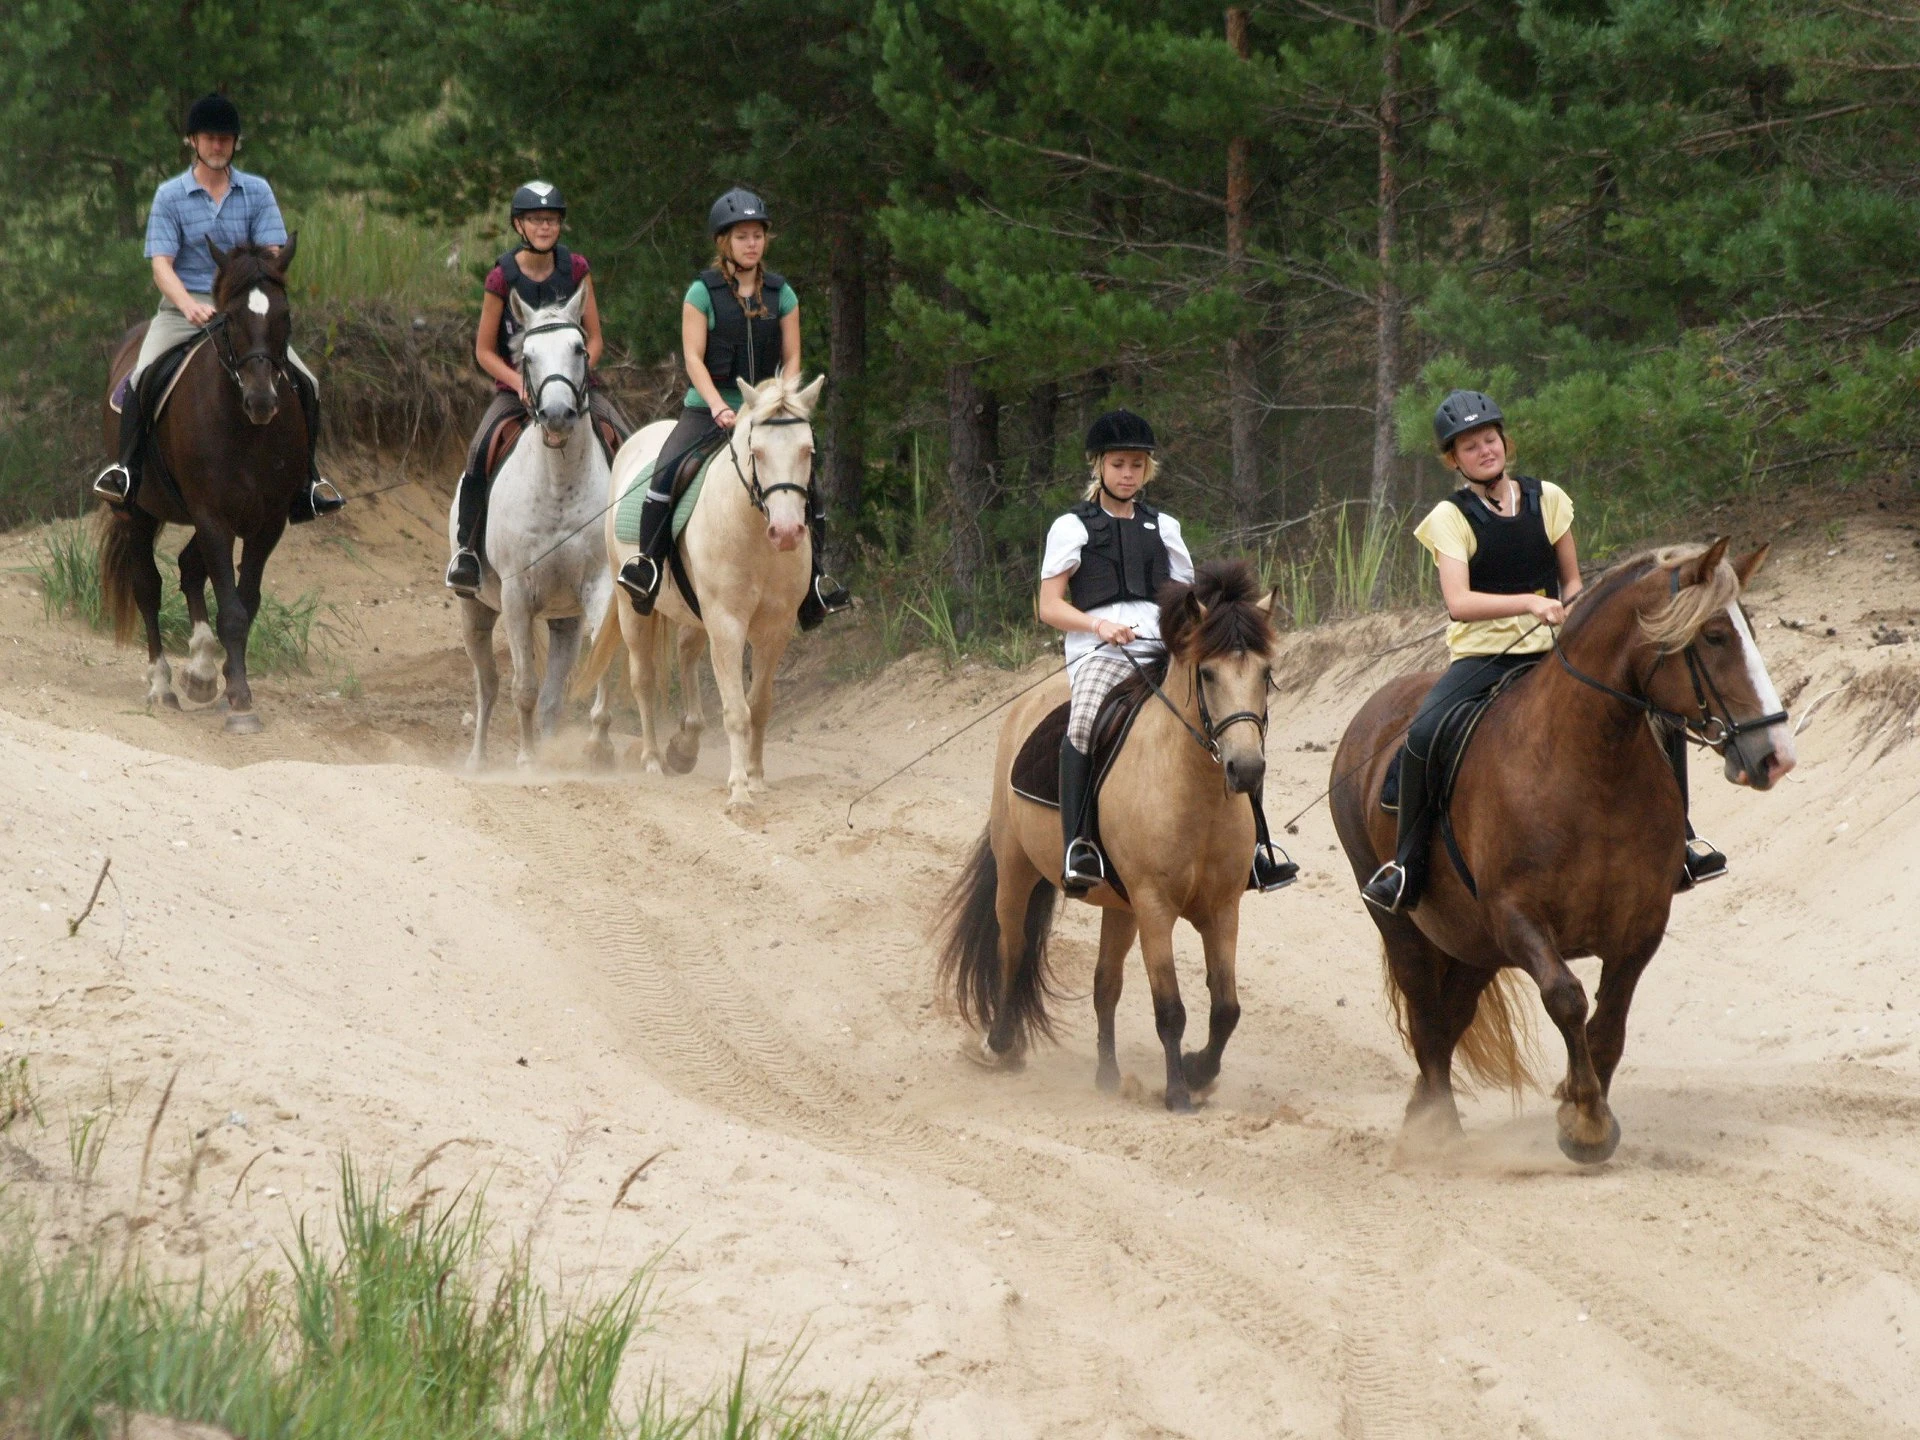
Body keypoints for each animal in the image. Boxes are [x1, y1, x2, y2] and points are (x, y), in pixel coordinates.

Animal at [101, 240, 309, 733]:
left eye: (285, 314)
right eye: (229, 318)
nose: (261, 401)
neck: (246, 429)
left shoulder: (266, 522)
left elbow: (245, 602)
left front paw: (230, 681)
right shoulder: (213, 516)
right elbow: (231, 609)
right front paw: (241, 703)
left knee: (189, 568)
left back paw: (200, 670)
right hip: (139, 512)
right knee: (148, 586)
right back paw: (163, 685)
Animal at [445, 286, 610, 771]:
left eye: (578, 349)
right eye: (528, 356)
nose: (556, 414)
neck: (558, 484)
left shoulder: (598, 586)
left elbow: (599, 663)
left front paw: (599, 744)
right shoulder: (517, 596)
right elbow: (523, 689)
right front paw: (527, 760)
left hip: (565, 620)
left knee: (552, 698)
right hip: (475, 612)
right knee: (488, 685)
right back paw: (479, 760)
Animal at [572, 372, 821, 806]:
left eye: (808, 451)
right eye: (757, 452)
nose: (787, 532)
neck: (753, 534)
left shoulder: (776, 628)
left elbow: (759, 705)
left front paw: (756, 777)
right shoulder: (727, 622)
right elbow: (736, 710)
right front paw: (739, 791)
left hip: (693, 615)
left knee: (687, 655)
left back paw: (684, 746)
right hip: (631, 605)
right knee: (643, 677)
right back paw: (653, 759)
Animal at [936, 564, 1282, 1113]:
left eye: (1265, 674)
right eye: (1207, 674)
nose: (1245, 770)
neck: (1193, 794)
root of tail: (1027, 706)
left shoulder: (1222, 907)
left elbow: (1226, 1008)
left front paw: (1197, 1071)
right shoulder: (1155, 906)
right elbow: (1170, 1008)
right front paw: (1178, 1093)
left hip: (1120, 906)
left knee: (1105, 984)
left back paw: (1106, 1073)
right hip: (1017, 868)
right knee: (1013, 947)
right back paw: (1003, 1044)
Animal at [1328, 537, 1789, 1159]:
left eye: (1751, 630)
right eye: (1715, 635)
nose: (1775, 754)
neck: (1589, 768)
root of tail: (1369, 714)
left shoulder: (1641, 924)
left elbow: (1608, 1024)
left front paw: (1586, 1103)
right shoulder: (1516, 917)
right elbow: (1568, 999)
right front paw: (1586, 1122)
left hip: (1473, 944)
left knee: (1449, 1020)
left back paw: (1422, 1114)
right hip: (1401, 922)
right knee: (1426, 1016)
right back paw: (1439, 1131)